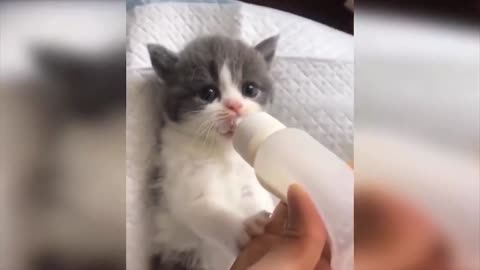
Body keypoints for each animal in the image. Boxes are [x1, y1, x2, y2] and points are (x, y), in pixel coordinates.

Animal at [148, 34, 280, 270]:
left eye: (250, 89)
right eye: (208, 93)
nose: (235, 106)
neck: (222, 151)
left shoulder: (249, 180)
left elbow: (256, 198)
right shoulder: (178, 184)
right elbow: (203, 211)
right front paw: (243, 227)